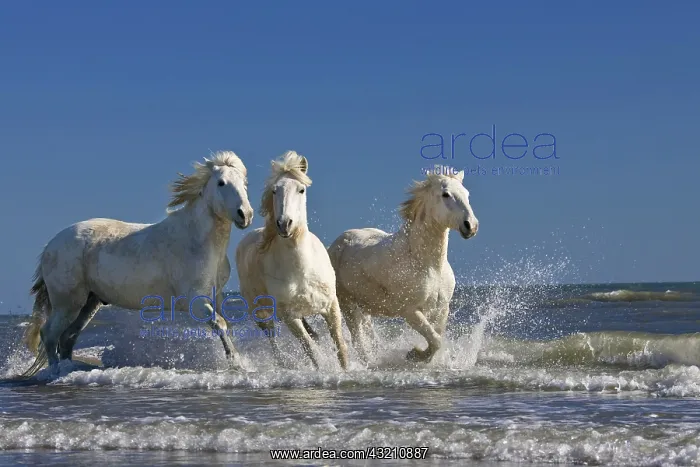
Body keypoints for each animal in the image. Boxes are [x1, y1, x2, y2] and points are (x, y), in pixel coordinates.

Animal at [20, 151, 254, 377]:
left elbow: (225, 324)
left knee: (68, 336)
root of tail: (50, 246)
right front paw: (237, 363)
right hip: (67, 303)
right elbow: (219, 323)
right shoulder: (195, 300)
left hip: (88, 303)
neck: (196, 240)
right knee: (49, 334)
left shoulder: (216, 296)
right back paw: (54, 372)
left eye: (244, 183)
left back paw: (67, 369)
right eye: (221, 183)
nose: (245, 215)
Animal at [235, 151, 349, 370]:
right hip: (260, 312)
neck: (302, 270)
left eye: (301, 190)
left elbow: (340, 346)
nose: (284, 224)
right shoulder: (289, 316)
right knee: (271, 337)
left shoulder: (331, 306)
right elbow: (311, 349)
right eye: (274, 191)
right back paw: (283, 364)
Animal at [322, 166, 479, 364]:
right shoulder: (410, 312)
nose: (471, 226)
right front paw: (415, 354)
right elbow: (435, 340)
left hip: (364, 307)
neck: (429, 266)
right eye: (446, 194)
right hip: (347, 305)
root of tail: (335, 244)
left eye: (467, 194)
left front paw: (421, 355)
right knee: (358, 340)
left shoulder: (442, 309)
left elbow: (438, 337)